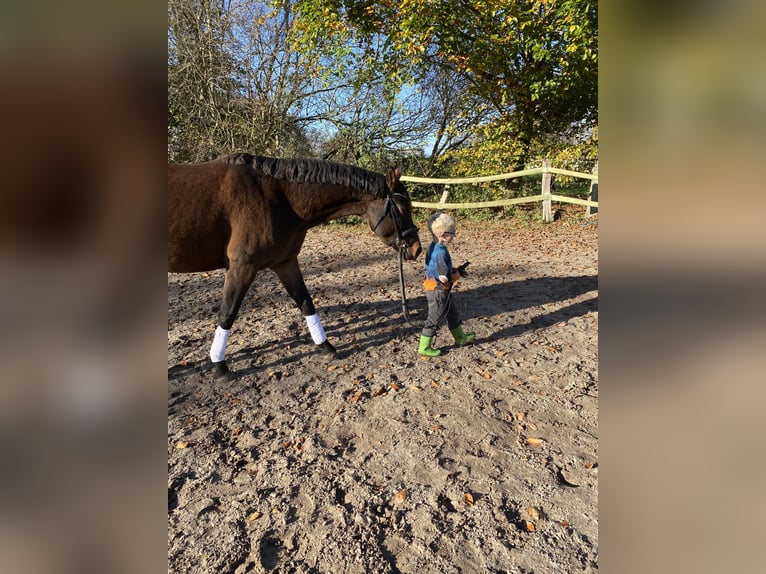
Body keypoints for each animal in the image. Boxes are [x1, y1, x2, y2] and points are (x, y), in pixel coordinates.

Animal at [169, 153, 424, 382]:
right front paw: (219, 366)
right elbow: (227, 314)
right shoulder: (241, 267)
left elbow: (306, 303)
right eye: (401, 209)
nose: (417, 249)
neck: (276, 198)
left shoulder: (286, 263)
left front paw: (325, 346)